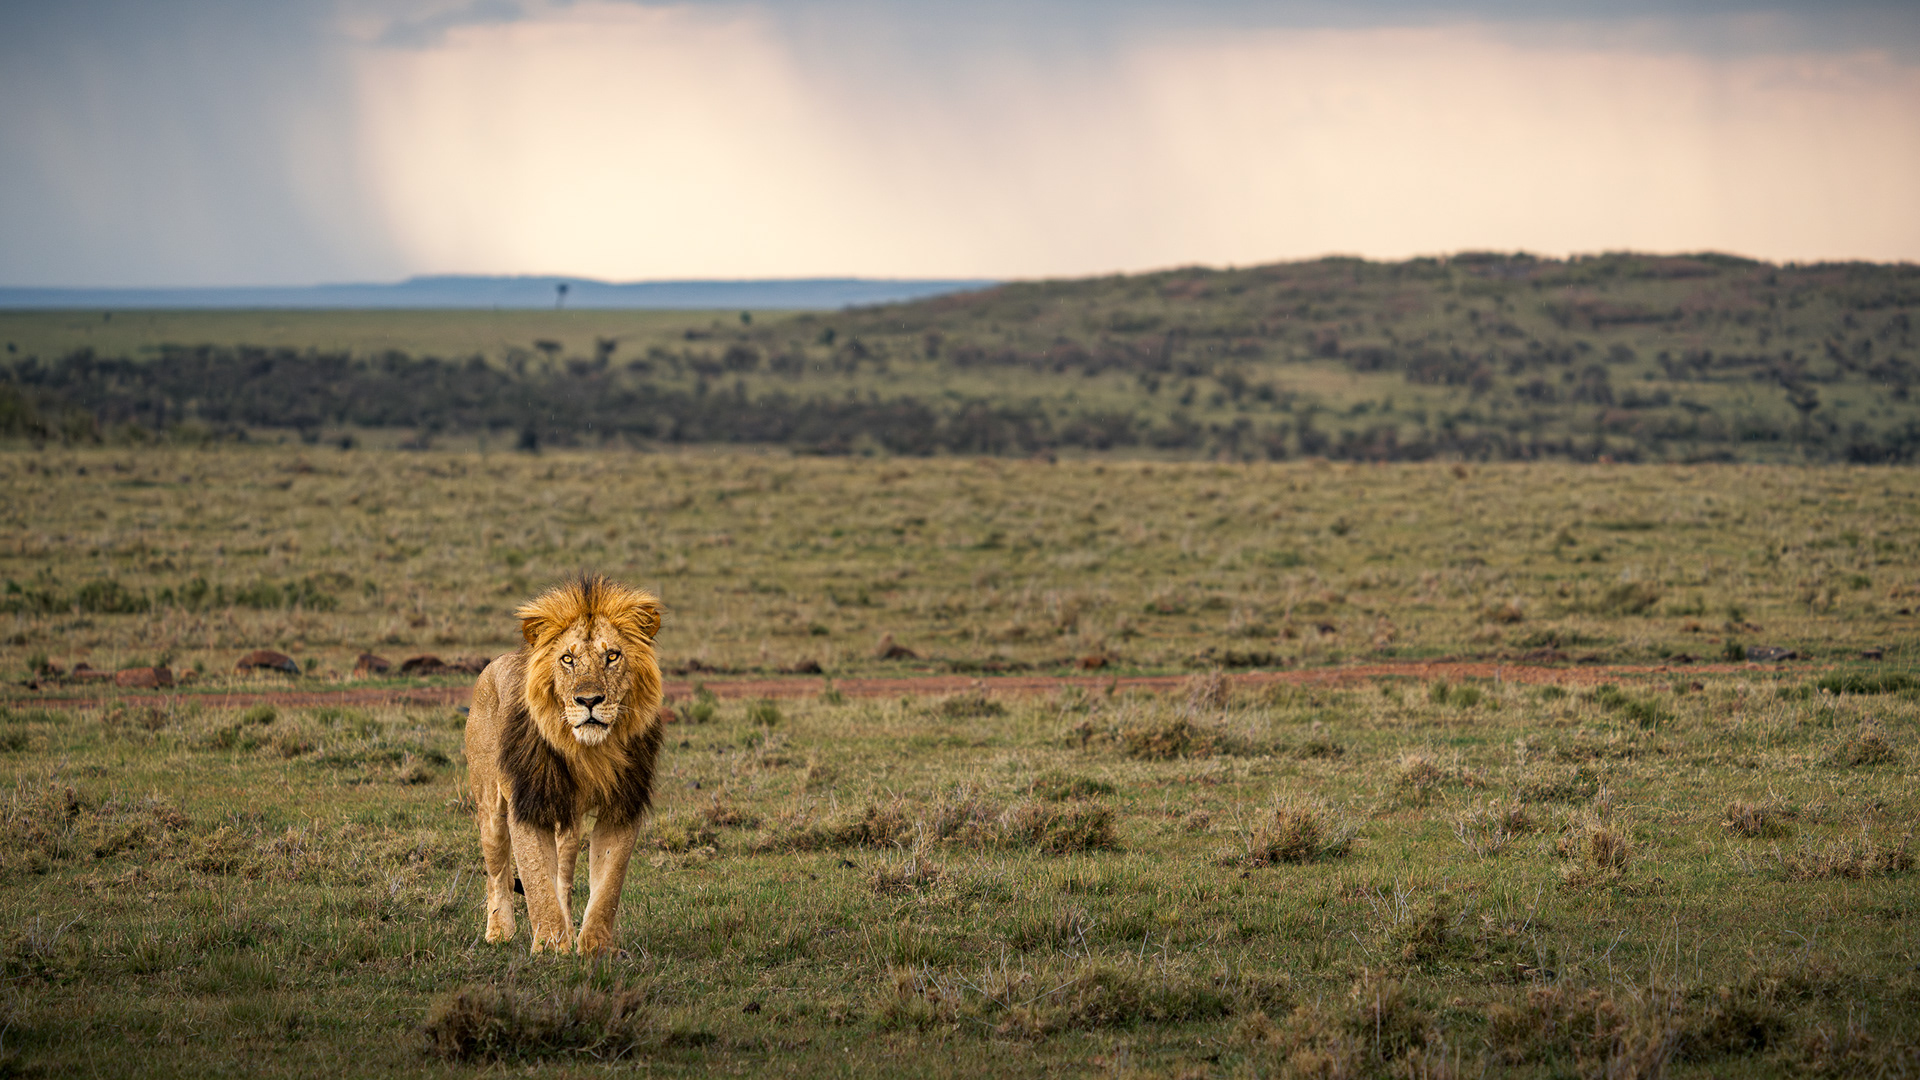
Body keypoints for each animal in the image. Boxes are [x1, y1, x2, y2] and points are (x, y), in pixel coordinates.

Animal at [466, 574, 665, 954]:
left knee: (563, 876)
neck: (588, 751)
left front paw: (595, 948)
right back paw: (498, 932)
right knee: (497, 874)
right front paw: (549, 947)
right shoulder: (528, 805)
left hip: (569, 824)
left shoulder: (622, 806)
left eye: (612, 656)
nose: (588, 700)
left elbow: (607, 887)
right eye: (568, 659)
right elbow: (536, 882)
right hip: (490, 808)